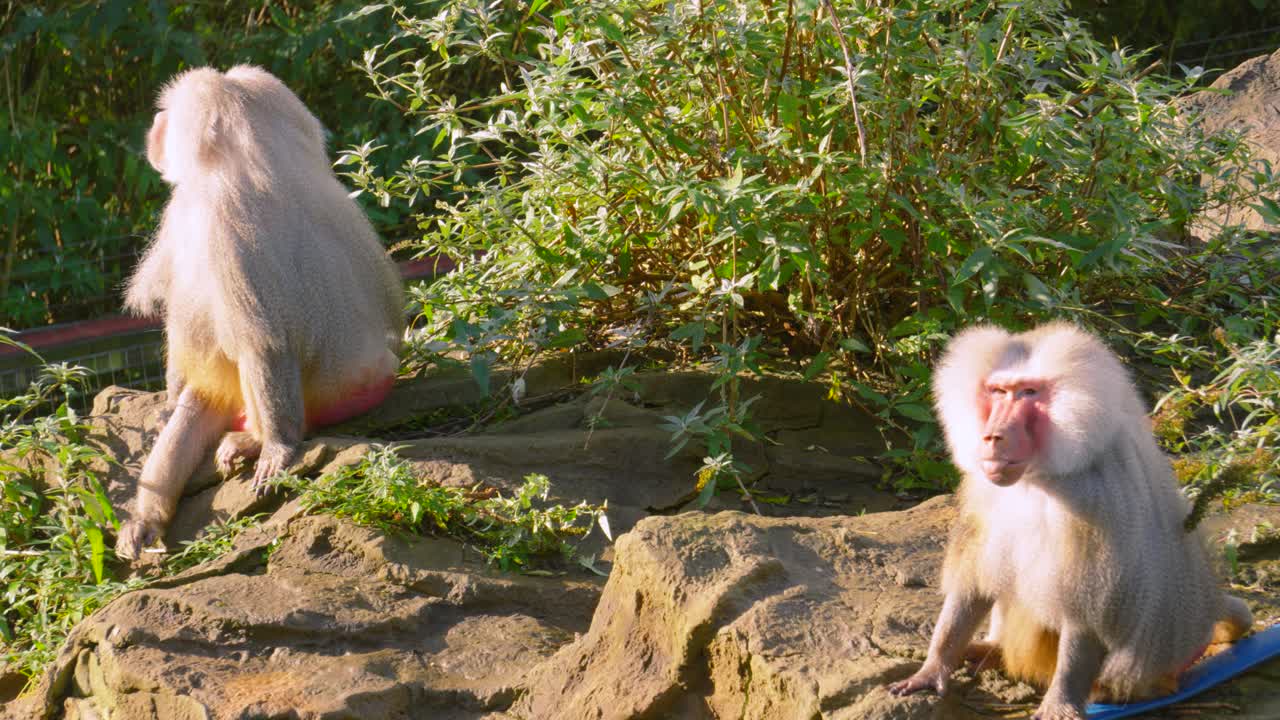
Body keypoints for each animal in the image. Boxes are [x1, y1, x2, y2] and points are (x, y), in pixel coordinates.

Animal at [115, 66, 405, 560]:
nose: (153, 132)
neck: (257, 158)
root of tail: (387, 368)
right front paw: (168, 403)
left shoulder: (222, 217)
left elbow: (265, 343)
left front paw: (279, 450)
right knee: (199, 404)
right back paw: (145, 524)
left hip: (340, 391)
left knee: (254, 354)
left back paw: (257, 441)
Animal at [888, 322, 1252, 720]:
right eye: (998, 391)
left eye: (1029, 393)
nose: (993, 437)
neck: (1039, 475)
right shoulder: (985, 489)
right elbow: (974, 585)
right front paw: (933, 667)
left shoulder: (1095, 498)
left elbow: (1088, 611)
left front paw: (1060, 702)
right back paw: (990, 650)